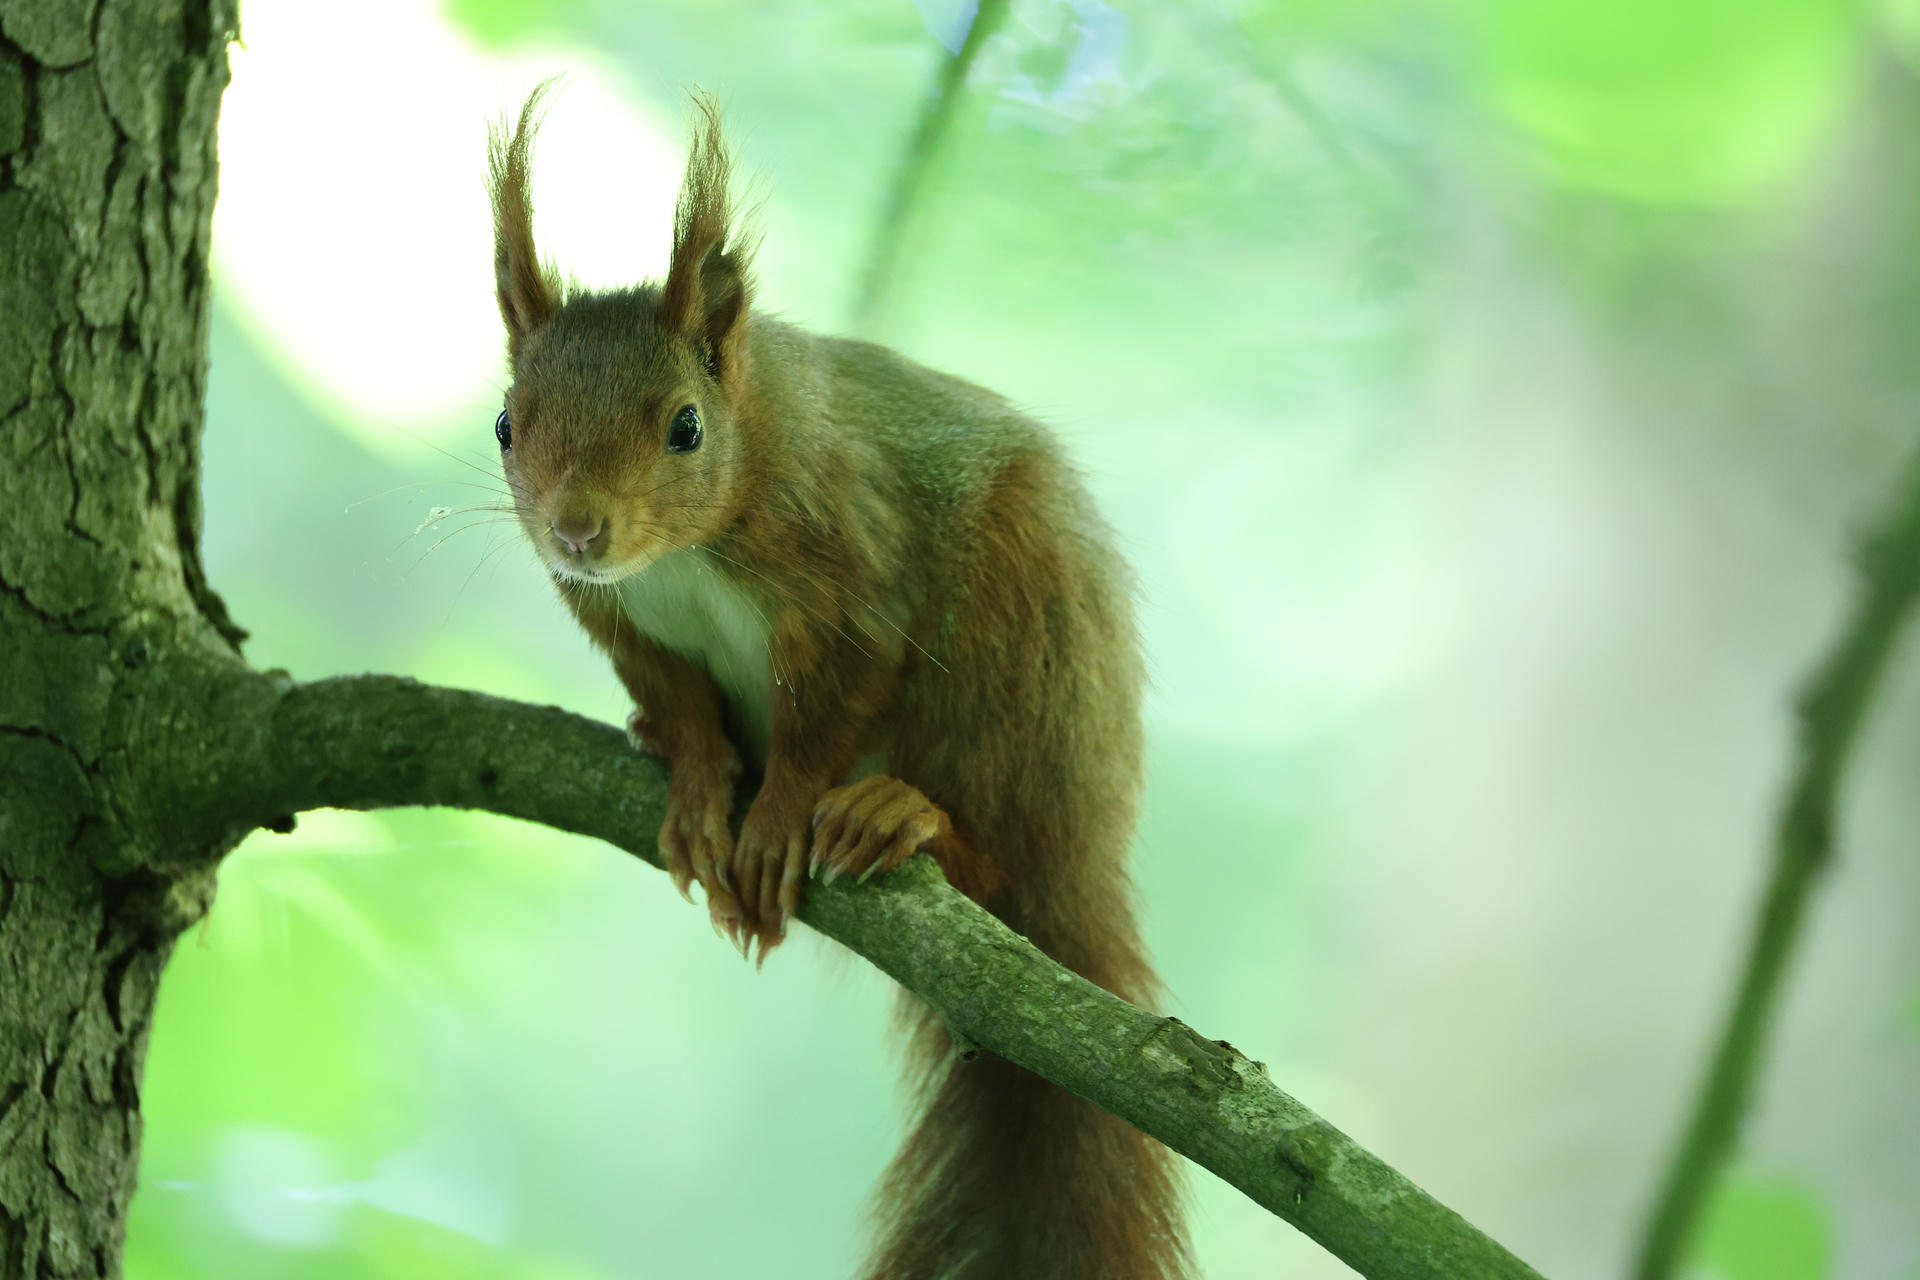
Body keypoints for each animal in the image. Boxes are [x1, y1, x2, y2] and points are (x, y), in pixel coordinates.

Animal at [487, 87, 1189, 1280]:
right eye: (503, 424)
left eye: (684, 426)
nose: (577, 530)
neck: (688, 550)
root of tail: (1087, 857)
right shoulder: (619, 617)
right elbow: (681, 699)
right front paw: (696, 786)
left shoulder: (857, 567)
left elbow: (831, 704)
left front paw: (773, 821)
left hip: (1019, 645)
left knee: (999, 855)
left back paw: (908, 818)